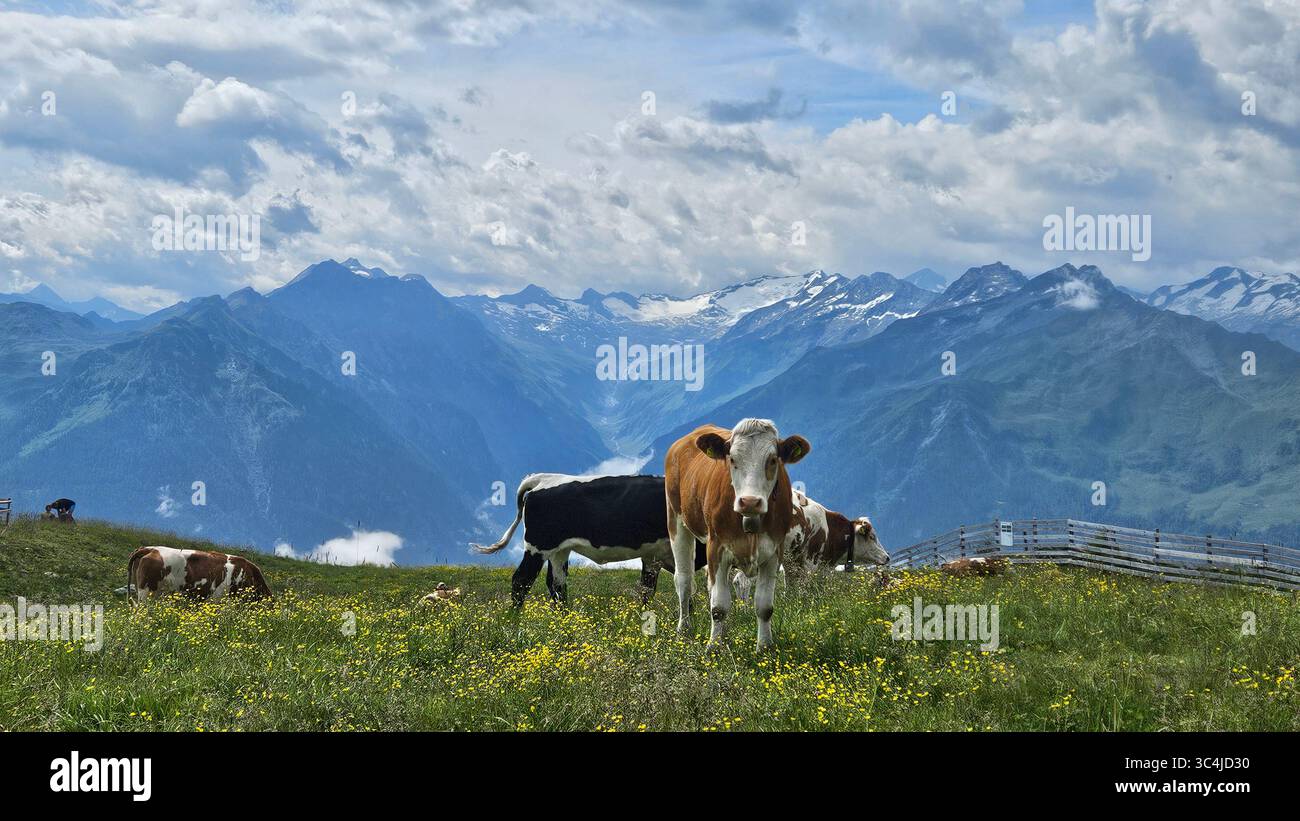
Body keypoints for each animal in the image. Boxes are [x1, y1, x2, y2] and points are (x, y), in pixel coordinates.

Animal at [471, 473, 704, 606]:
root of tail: (543, 478)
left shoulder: (652, 556)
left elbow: (648, 590)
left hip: (559, 550)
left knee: (556, 584)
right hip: (538, 544)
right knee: (522, 580)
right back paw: (513, 621)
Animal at [664, 418, 810, 649]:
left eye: (772, 460)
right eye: (732, 458)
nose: (750, 501)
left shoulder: (774, 552)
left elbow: (764, 606)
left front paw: (764, 647)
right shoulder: (716, 548)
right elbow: (718, 607)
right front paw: (713, 647)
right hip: (676, 520)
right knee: (685, 581)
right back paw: (683, 629)